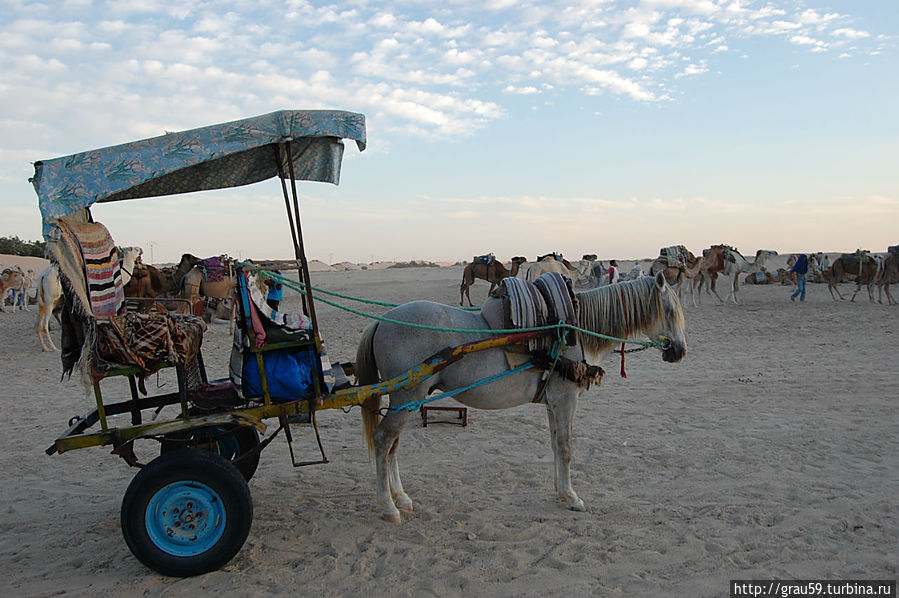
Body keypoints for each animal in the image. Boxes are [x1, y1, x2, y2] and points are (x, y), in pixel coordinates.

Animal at [356, 276, 684, 524]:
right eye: (669, 311)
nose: (679, 350)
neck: (575, 331)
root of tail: (381, 321)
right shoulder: (566, 400)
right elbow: (566, 448)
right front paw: (572, 497)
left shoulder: (553, 402)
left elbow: (555, 446)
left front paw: (561, 491)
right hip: (407, 397)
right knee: (383, 440)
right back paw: (388, 506)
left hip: (406, 401)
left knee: (392, 446)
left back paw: (401, 497)